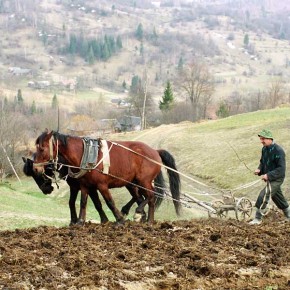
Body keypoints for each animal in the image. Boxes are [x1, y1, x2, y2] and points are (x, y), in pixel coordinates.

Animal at [32, 130, 180, 223]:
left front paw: (119, 220)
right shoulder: (85, 185)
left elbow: (109, 202)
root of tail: (155, 151)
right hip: (134, 182)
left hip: (144, 181)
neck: (85, 154)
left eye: (42, 149)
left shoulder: (101, 185)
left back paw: (145, 217)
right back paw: (144, 218)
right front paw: (80, 221)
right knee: (143, 197)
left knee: (151, 196)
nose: (36, 168)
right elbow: (84, 202)